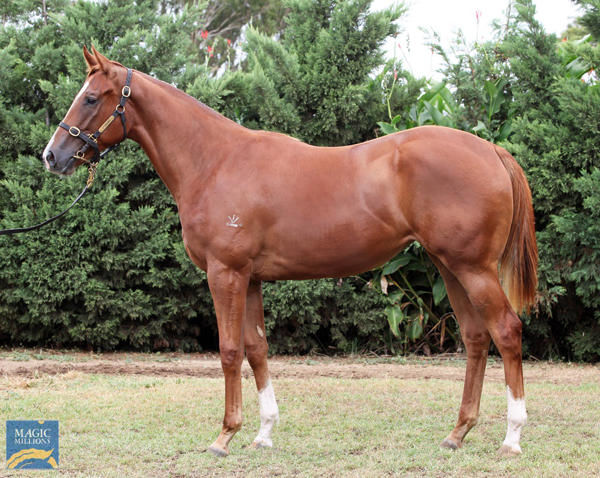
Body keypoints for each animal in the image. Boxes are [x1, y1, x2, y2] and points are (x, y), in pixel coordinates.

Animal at [43, 47, 540, 456]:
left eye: (92, 98)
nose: (52, 156)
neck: (215, 161)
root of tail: (492, 150)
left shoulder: (225, 274)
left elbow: (228, 350)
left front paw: (224, 436)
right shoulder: (250, 278)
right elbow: (256, 348)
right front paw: (263, 433)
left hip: (473, 269)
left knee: (506, 331)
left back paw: (512, 438)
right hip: (449, 268)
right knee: (475, 338)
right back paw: (458, 433)